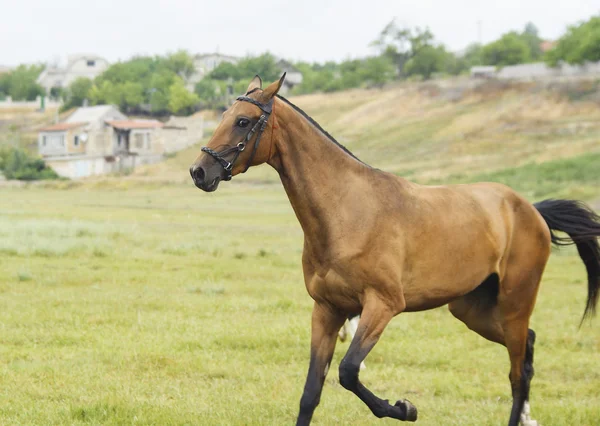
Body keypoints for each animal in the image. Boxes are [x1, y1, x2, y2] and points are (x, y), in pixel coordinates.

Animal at [191, 75, 600, 426]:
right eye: (223, 117)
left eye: (242, 121)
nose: (199, 171)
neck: (348, 211)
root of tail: (530, 209)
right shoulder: (327, 311)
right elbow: (310, 393)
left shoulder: (382, 306)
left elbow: (348, 372)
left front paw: (405, 408)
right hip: (473, 311)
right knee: (528, 348)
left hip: (514, 305)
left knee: (517, 373)